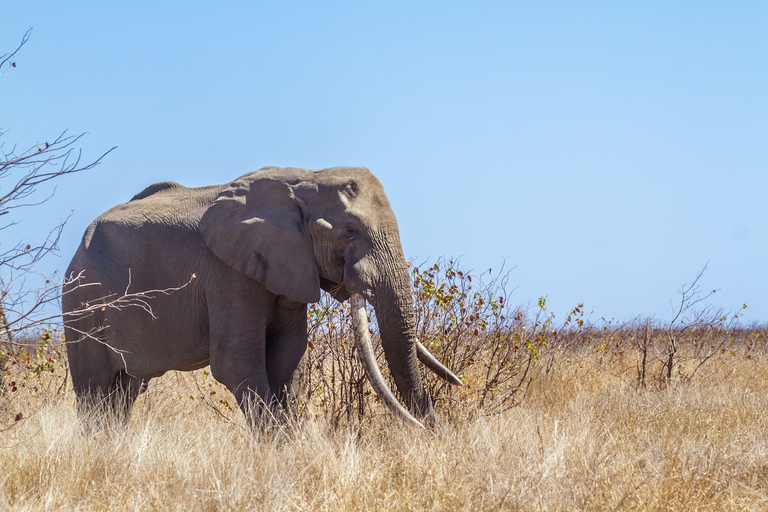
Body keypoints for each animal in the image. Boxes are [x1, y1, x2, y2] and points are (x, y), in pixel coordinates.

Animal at [62, 166, 462, 428]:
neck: (306, 179)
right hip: (82, 300)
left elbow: (288, 359)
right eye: (350, 231)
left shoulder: (289, 267)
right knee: (94, 390)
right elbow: (236, 364)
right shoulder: (227, 272)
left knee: (125, 390)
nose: (431, 432)